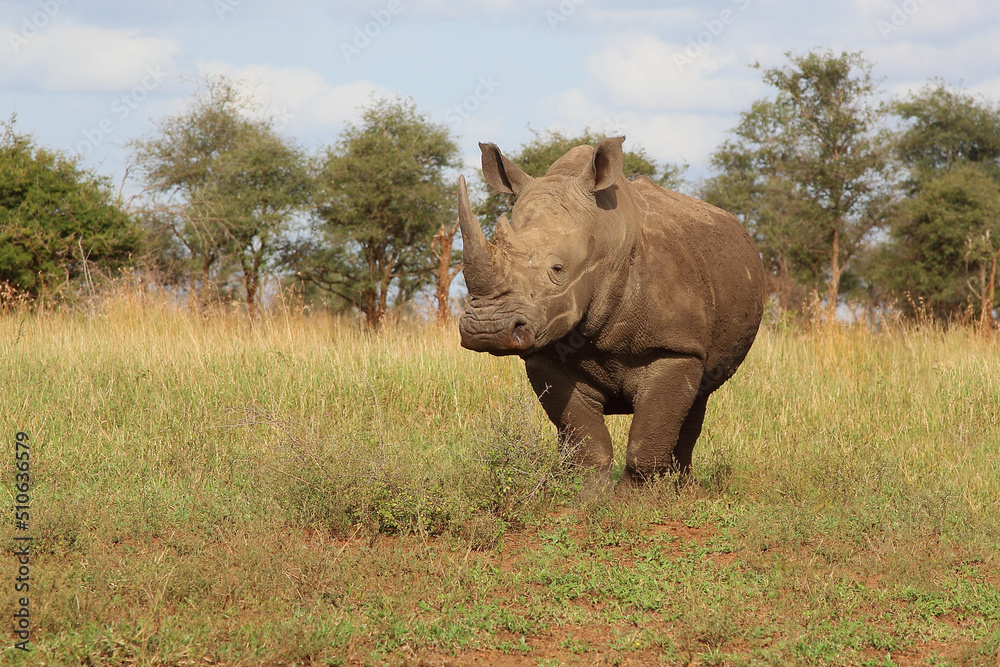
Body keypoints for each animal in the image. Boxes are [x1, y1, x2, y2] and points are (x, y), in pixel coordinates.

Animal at [458, 137, 765, 492]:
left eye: (557, 270)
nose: (487, 329)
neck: (604, 239)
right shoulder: (544, 353)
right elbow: (583, 436)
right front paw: (586, 496)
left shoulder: (676, 348)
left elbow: (650, 437)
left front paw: (637, 499)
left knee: (698, 400)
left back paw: (685, 490)